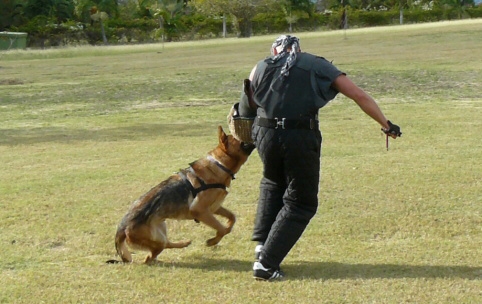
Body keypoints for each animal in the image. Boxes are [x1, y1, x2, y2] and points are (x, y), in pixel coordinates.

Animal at [112, 126, 256, 264]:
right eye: (241, 139)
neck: (219, 165)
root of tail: (122, 227)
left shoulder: (213, 208)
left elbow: (232, 218)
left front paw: (219, 235)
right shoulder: (200, 210)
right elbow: (222, 229)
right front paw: (212, 241)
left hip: (161, 230)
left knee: (163, 246)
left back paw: (183, 243)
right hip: (156, 238)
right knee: (148, 258)